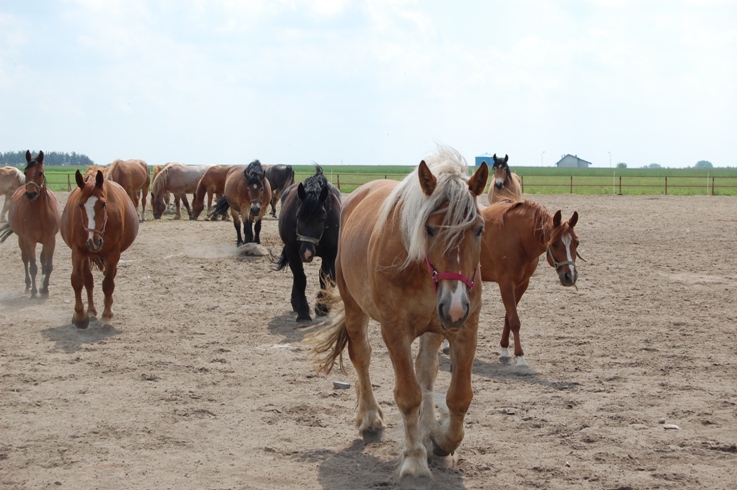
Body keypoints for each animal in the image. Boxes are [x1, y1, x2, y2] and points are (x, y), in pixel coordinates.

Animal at [0, 149, 60, 296]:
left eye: (40, 172)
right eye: (26, 172)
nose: (31, 194)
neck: (40, 214)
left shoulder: (51, 240)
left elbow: (48, 265)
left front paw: (44, 288)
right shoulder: (29, 240)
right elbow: (33, 266)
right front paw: (34, 291)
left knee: (42, 259)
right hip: (22, 240)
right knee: (25, 259)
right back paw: (28, 285)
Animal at [60, 169, 139, 330]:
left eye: (103, 204)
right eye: (80, 205)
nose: (94, 241)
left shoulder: (113, 254)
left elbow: (108, 284)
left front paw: (107, 316)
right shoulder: (78, 251)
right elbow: (77, 280)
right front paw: (79, 316)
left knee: (109, 278)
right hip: (85, 256)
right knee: (88, 281)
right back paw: (90, 311)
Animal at [276, 167, 342, 324]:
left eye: (322, 218)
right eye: (298, 216)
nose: (307, 252)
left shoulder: (331, 252)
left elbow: (325, 277)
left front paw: (322, 306)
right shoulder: (292, 250)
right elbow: (300, 279)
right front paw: (303, 312)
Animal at [306, 146, 488, 486]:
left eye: (479, 229)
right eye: (429, 228)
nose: (455, 305)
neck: (420, 269)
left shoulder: (464, 329)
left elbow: (459, 396)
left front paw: (441, 440)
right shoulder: (395, 331)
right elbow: (407, 395)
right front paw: (414, 459)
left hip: (435, 326)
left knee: (427, 370)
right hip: (355, 309)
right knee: (361, 357)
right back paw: (369, 418)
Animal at [480, 198, 576, 364]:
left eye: (577, 243)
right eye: (555, 243)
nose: (569, 276)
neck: (516, 237)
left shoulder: (522, 284)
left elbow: (508, 317)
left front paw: (504, 349)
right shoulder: (505, 284)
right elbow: (514, 321)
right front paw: (520, 356)